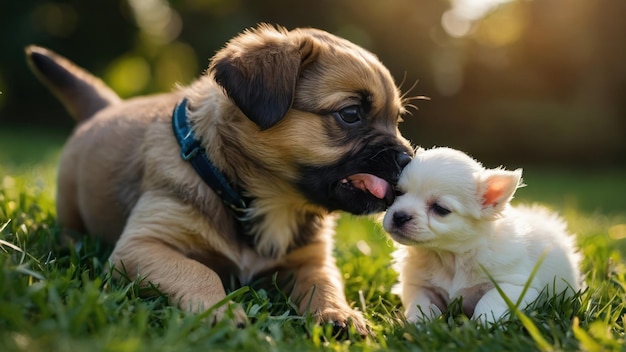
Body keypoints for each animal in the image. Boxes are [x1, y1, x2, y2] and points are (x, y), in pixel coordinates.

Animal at [26, 24, 412, 332]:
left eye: (396, 121)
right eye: (351, 114)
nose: (408, 158)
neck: (268, 201)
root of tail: (108, 107)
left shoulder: (312, 260)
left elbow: (324, 285)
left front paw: (338, 314)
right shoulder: (141, 246)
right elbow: (198, 271)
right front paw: (220, 312)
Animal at [382, 146, 584, 324]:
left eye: (440, 209)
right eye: (397, 192)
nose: (399, 216)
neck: (450, 257)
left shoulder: (516, 286)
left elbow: (488, 301)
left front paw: (481, 324)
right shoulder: (418, 286)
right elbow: (421, 305)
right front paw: (417, 324)